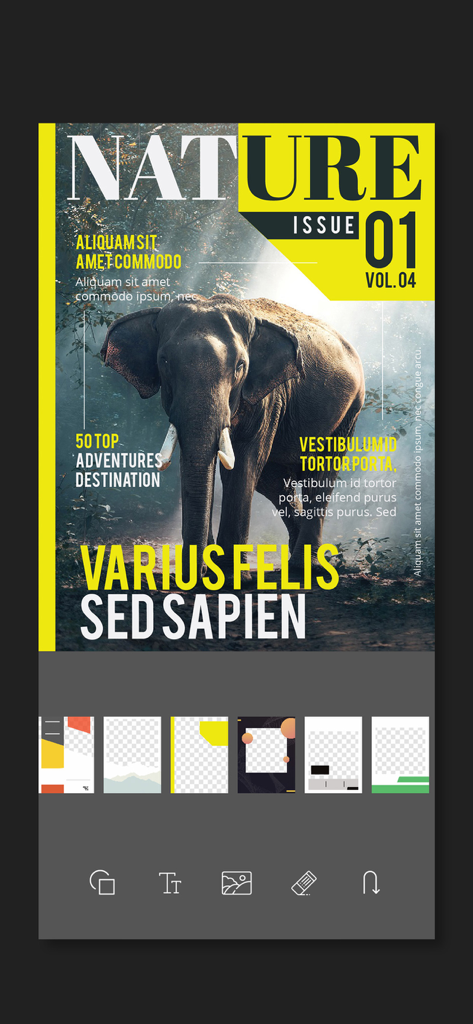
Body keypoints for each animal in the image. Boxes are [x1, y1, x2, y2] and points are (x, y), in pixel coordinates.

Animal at [101, 294, 364, 580]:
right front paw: (209, 572)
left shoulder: (269, 397)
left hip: (349, 412)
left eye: (240, 366)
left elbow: (243, 464)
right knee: (272, 481)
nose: (189, 577)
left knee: (320, 473)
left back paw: (307, 568)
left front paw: (231, 577)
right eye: (164, 362)